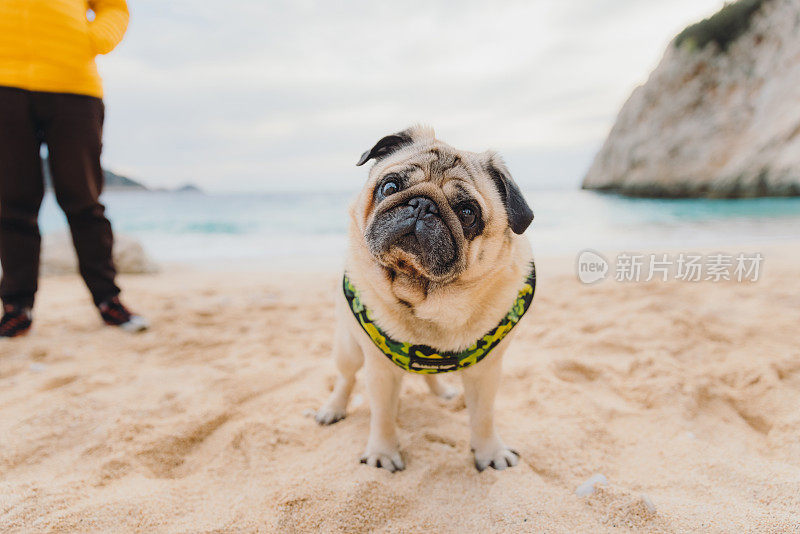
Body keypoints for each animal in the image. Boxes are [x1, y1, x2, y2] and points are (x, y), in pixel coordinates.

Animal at [316, 126, 536, 474]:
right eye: (390, 186)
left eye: (468, 213)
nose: (422, 204)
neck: (424, 296)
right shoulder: (379, 370)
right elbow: (382, 415)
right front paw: (382, 453)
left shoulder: (487, 372)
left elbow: (484, 416)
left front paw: (490, 452)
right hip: (348, 347)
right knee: (345, 378)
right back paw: (333, 408)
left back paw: (441, 391)